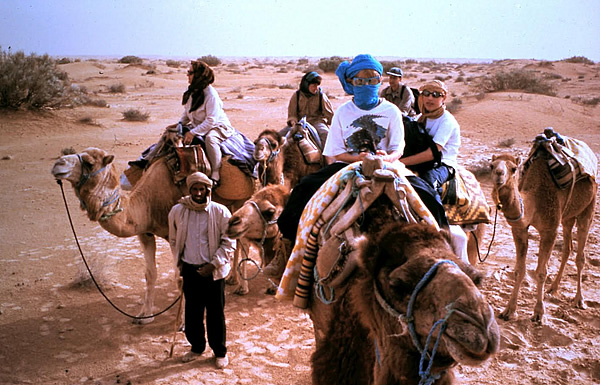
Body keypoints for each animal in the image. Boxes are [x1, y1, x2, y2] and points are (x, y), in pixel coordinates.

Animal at [51, 144, 253, 320]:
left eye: (89, 163)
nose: (57, 165)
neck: (148, 202)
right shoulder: (145, 232)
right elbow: (150, 274)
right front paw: (144, 315)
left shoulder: (175, 233)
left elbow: (180, 277)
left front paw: (181, 322)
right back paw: (232, 279)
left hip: (241, 201)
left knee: (244, 241)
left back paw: (242, 287)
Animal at [490, 142, 596, 322]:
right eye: (491, 166)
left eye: (513, 168)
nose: (498, 174)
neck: (533, 200)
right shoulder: (519, 229)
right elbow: (519, 271)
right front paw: (508, 310)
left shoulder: (549, 230)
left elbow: (541, 272)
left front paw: (538, 313)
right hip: (567, 217)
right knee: (567, 247)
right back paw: (553, 288)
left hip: (589, 207)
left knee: (580, 255)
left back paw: (579, 300)